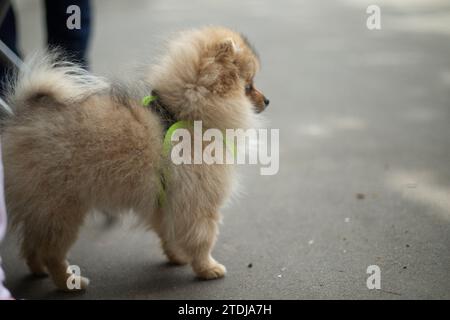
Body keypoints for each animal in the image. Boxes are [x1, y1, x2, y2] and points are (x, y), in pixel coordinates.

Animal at [0, 26, 268, 290]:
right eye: (248, 86)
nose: (267, 100)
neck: (185, 114)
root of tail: (21, 119)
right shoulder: (198, 202)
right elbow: (203, 238)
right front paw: (207, 268)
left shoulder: (166, 200)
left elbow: (168, 231)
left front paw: (177, 256)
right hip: (62, 207)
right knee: (51, 251)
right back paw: (69, 282)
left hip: (41, 206)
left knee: (31, 243)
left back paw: (38, 271)